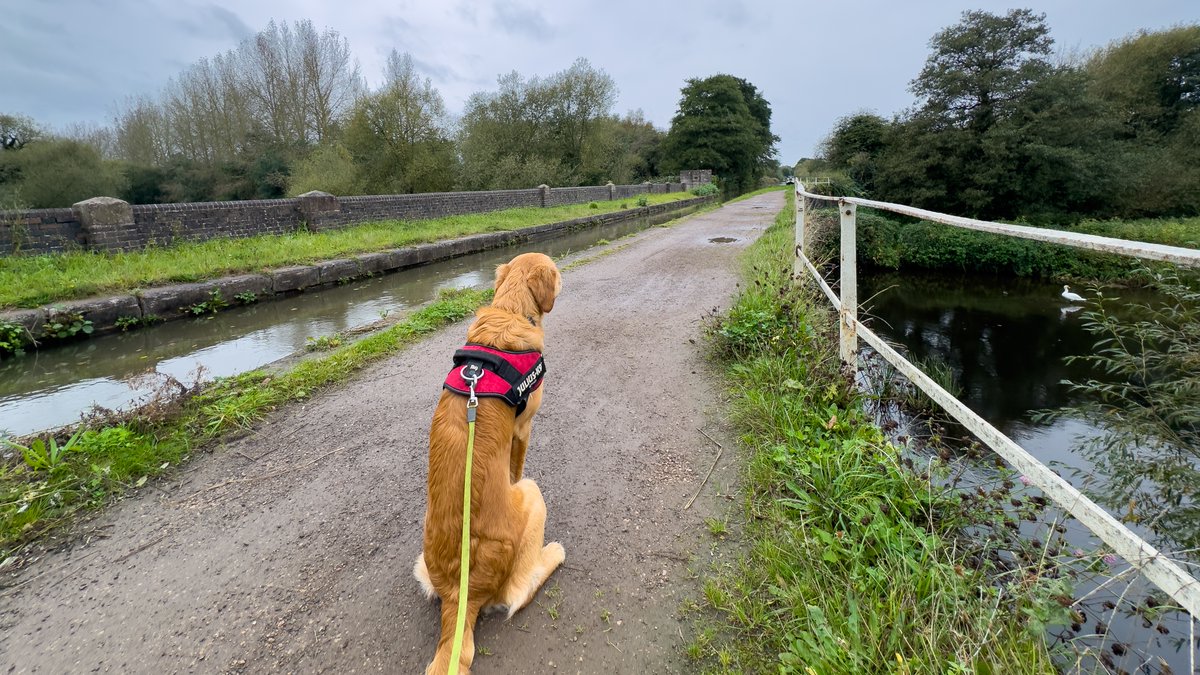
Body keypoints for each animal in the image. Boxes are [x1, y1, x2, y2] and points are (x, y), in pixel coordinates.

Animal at [417, 252, 566, 672]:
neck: (510, 310)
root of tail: (461, 595)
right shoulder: (524, 427)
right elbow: (516, 465)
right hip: (533, 497)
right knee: (519, 591)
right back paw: (554, 554)